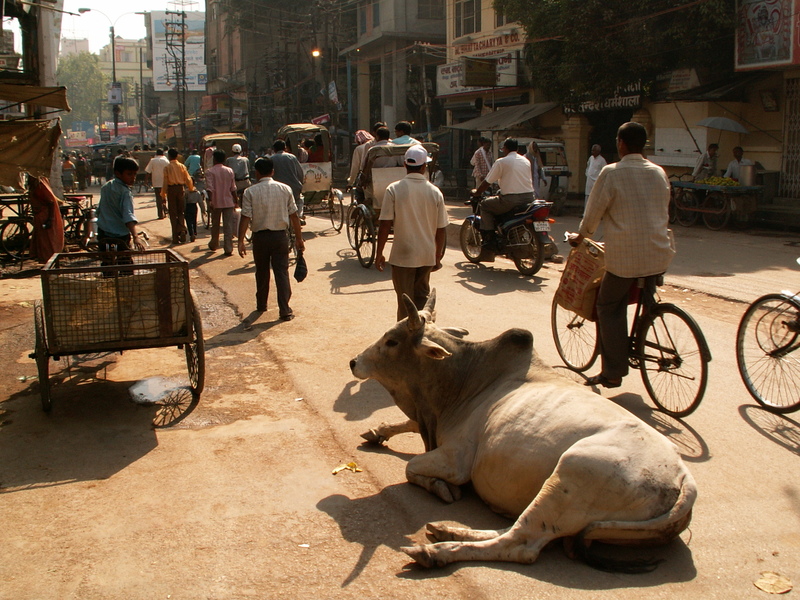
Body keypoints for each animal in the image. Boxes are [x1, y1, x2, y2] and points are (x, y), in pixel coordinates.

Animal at [346, 292, 696, 568]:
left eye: (392, 341)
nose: (354, 361)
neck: (464, 381)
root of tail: (684, 481)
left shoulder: (456, 459)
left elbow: (412, 467)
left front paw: (441, 488)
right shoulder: (429, 421)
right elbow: (408, 424)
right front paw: (378, 431)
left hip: (571, 475)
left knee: (521, 544)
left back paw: (437, 550)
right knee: (520, 528)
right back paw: (449, 530)